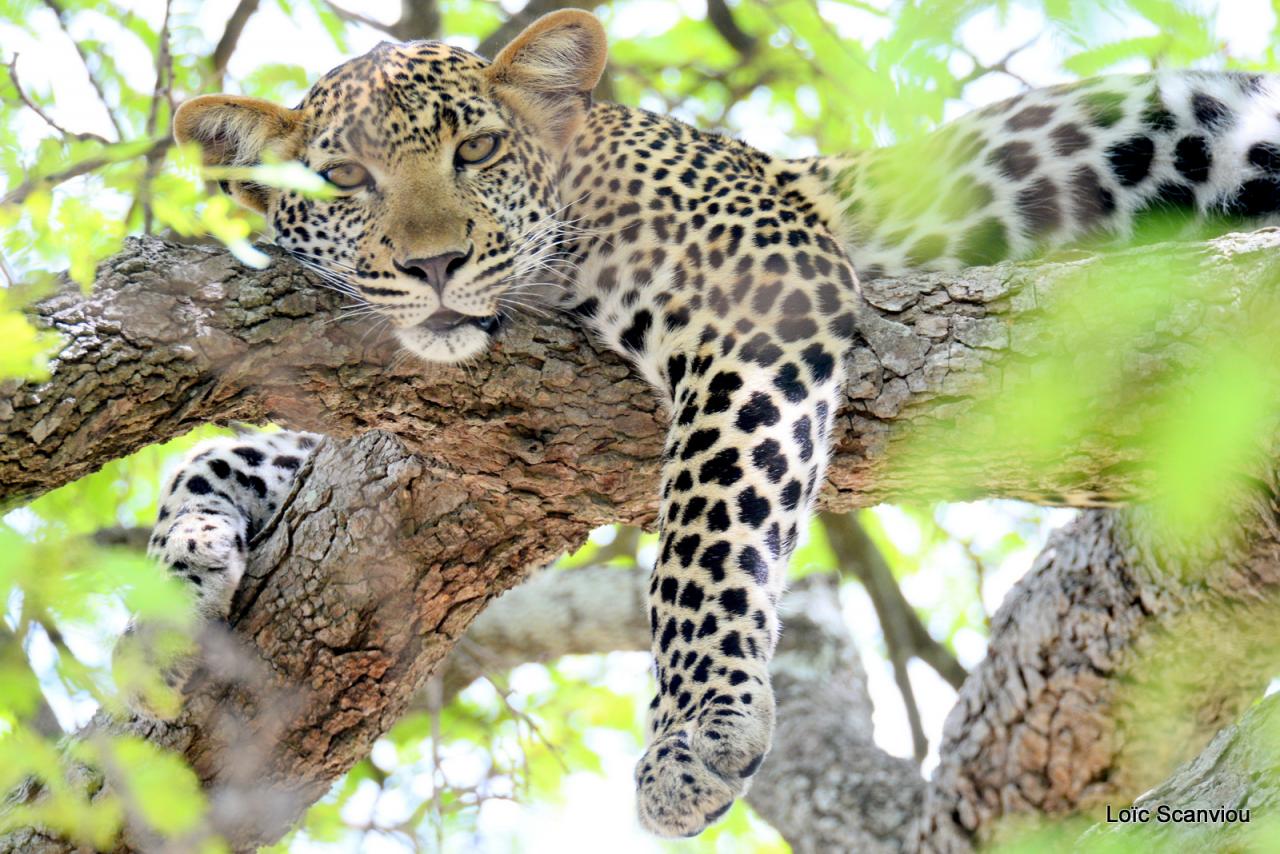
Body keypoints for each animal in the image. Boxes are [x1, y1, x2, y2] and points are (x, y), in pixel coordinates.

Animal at [127, 10, 1280, 839]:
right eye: (342, 179)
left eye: (479, 148)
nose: (435, 263)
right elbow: (229, 450)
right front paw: (175, 583)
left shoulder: (763, 290)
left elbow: (707, 523)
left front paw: (697, 728)